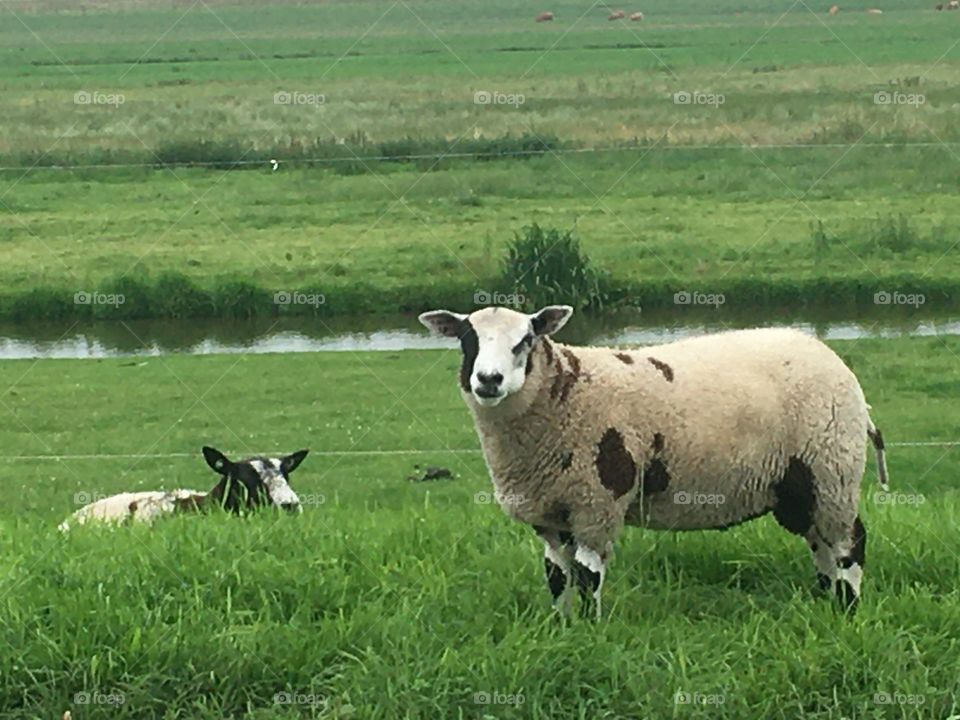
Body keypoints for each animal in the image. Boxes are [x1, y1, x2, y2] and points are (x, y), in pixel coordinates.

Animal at [419, 305, 889, 618]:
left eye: (525, 340)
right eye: (466, 340)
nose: (489, 380)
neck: (567, 391)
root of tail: (840, 368)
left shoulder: (596, 503)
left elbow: (587, 577)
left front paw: (588, 632)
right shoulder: (550, 513)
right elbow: (556, 576)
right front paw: (562, 629)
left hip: (831, 468)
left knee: (849, 543)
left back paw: (847, 608)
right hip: (799, 485)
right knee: (821, 544)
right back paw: (825, 601)